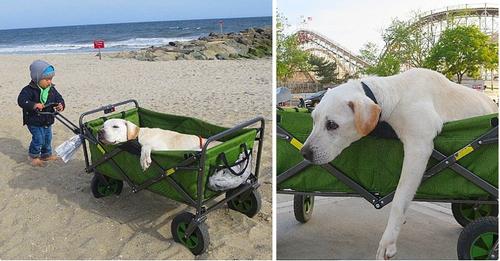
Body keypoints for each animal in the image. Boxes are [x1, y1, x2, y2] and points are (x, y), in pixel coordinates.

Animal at [298, 68, 498, 258]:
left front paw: (388, 241)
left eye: (332, 125)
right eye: (313, 121)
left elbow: (399, 200)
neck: (395, 96)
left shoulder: (418, 147)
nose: (304, 153)